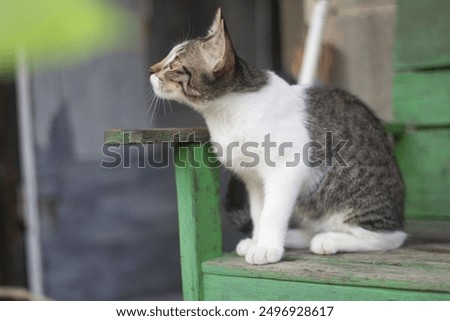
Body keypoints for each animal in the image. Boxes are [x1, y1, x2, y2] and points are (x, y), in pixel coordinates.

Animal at [149, 8, 406, 264]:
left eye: (174, 63)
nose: (151, 69)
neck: (224, 114)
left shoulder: (286, 169)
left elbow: (272, 212)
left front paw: (266, 248)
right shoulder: (253, 179)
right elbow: (258, 212)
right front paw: (259, 240)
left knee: (391, 237)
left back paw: (329, 239)